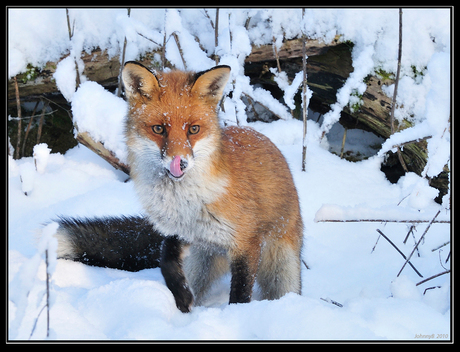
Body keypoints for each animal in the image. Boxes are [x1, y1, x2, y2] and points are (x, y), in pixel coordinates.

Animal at [53, 62, 302, 312]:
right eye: (158, 129)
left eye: (193, 129)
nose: (180, 162)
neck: (185, 202)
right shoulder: (179, 231)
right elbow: (166, 259)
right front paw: (181, 295)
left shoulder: (246, 242)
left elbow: (240, 293)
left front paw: (236, 314)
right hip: (199, 264)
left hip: (282, 272)